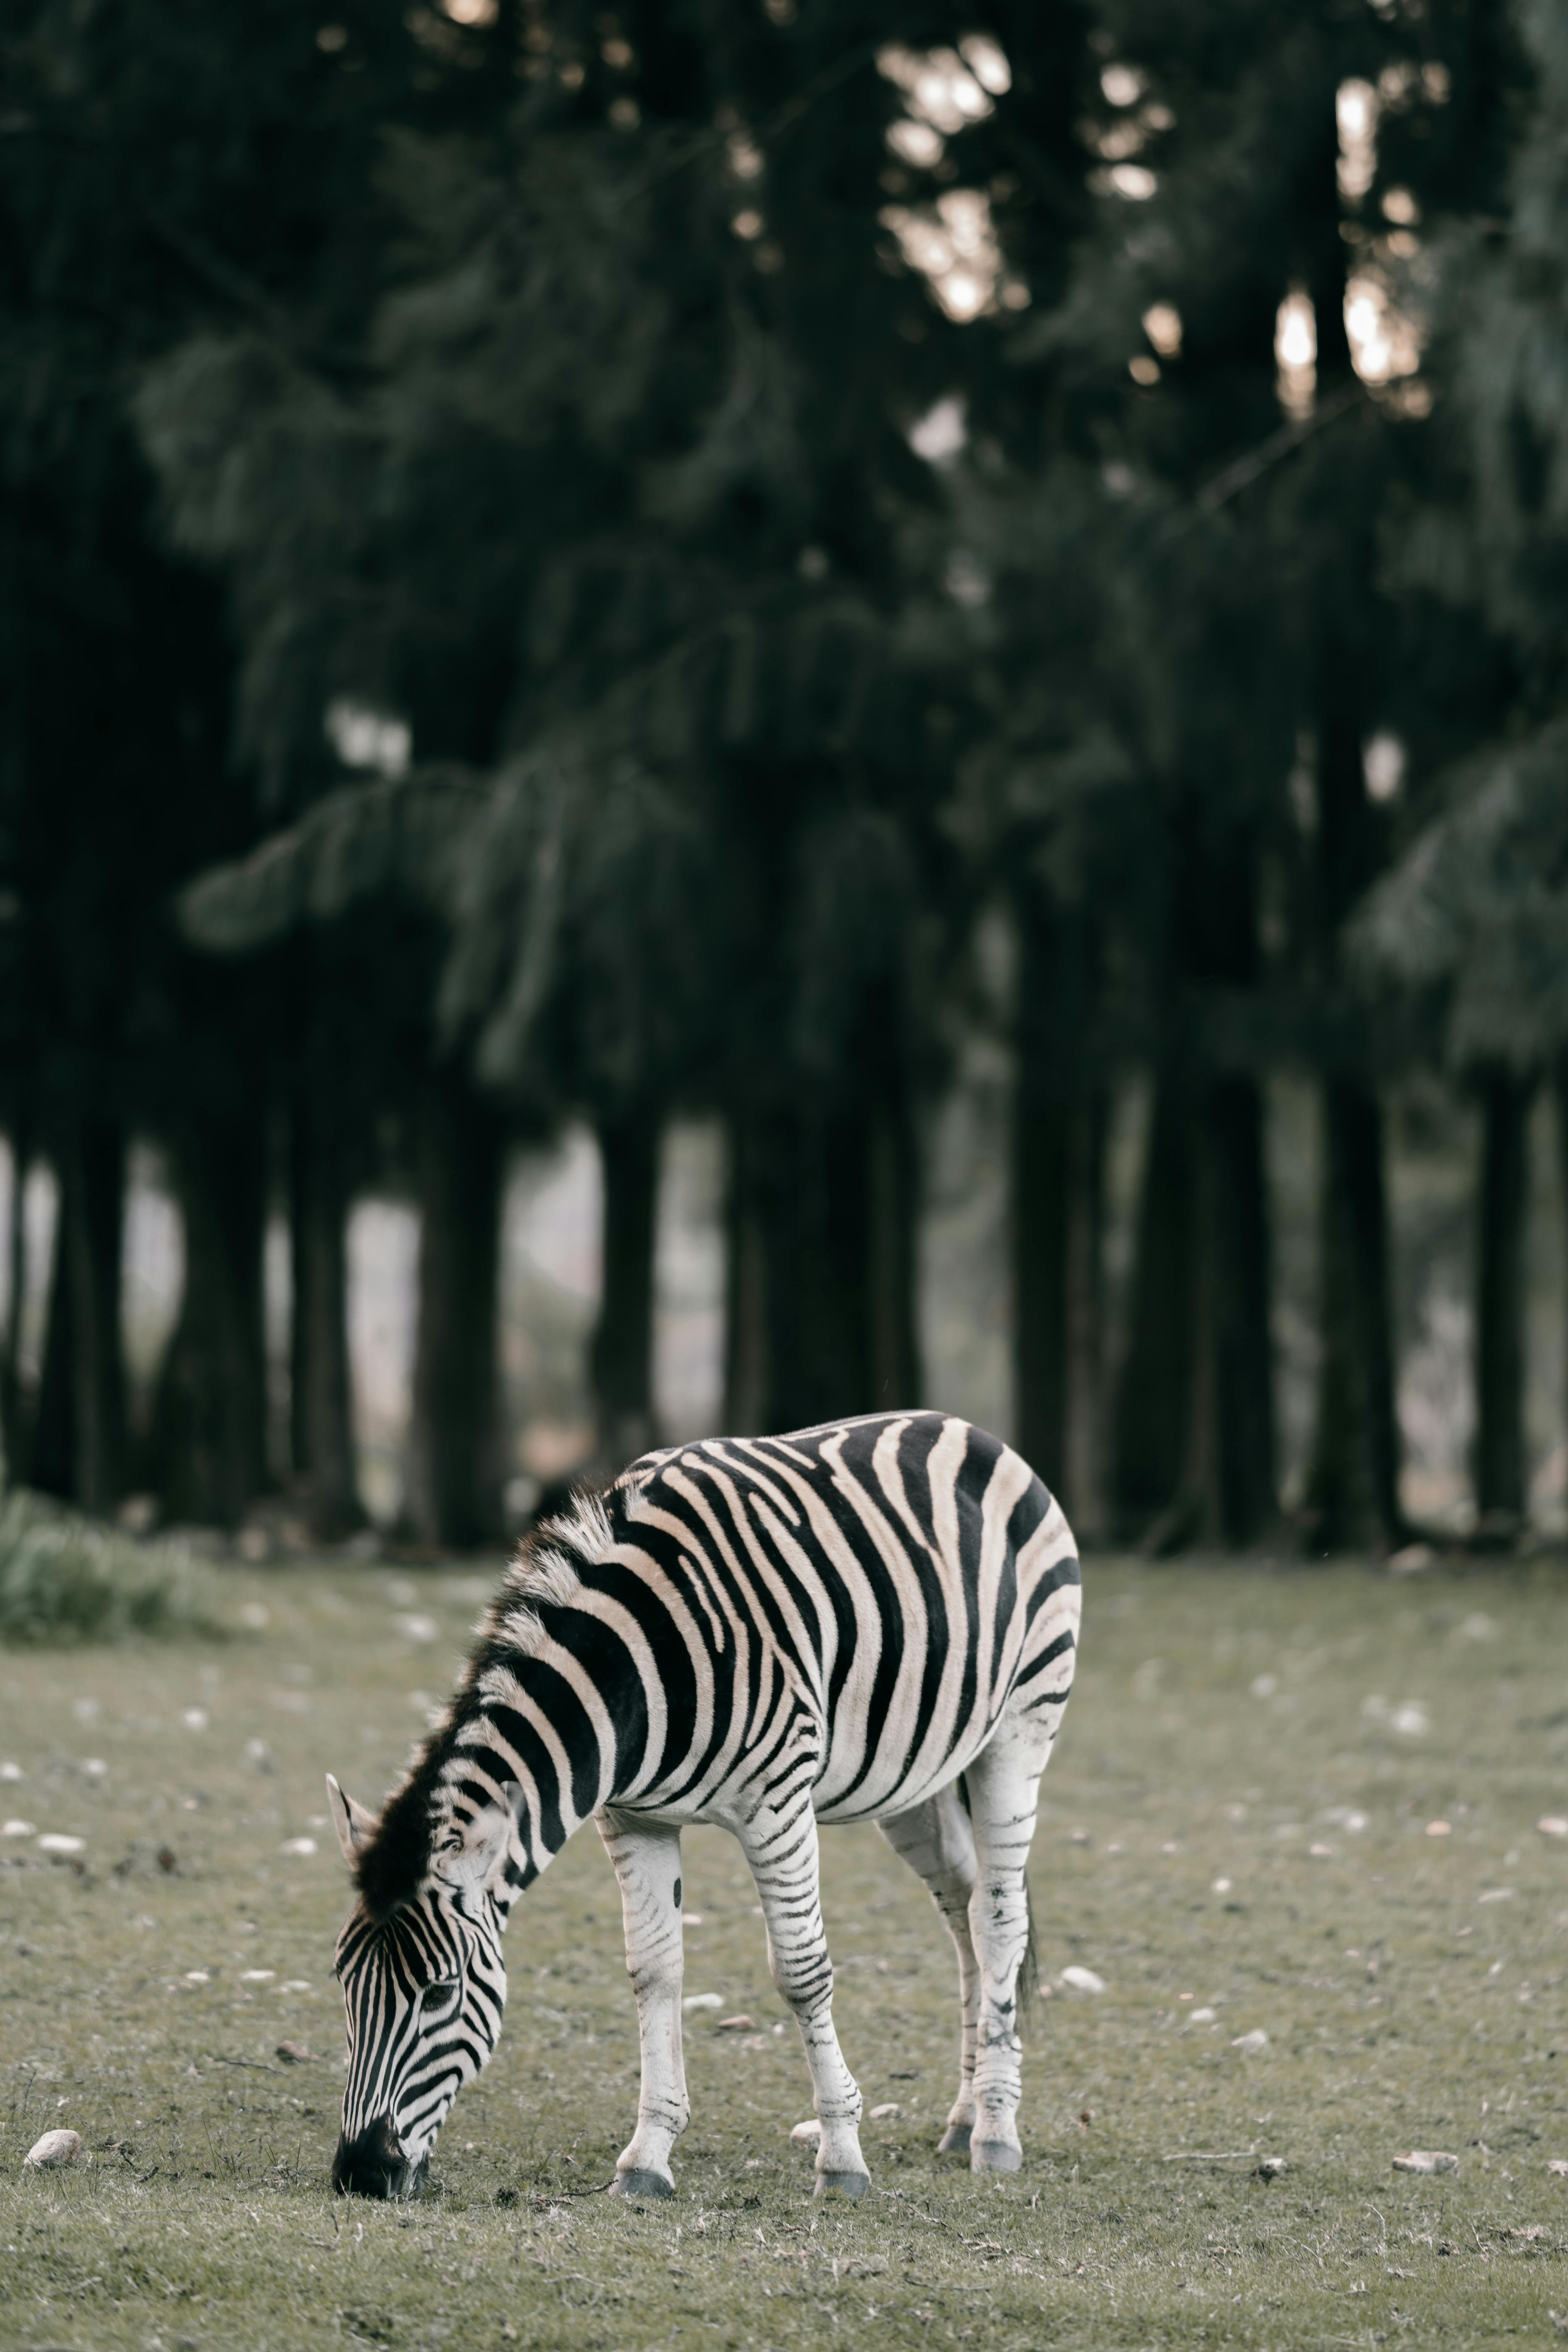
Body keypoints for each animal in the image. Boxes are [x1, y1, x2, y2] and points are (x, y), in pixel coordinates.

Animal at [327, 1410, 1080, 2201]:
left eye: (439, 1994)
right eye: (343, 1979)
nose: (360, 2172)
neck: (635, 1670)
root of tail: (960, 1425)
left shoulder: (777, 1802)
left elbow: (802, 1972)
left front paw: (841, 2156)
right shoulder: (634, 1817)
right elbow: (654, 1969)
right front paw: (646, 2157)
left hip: (1022, 1723)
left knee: (999, 1917)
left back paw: (995, 2132)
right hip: (917, 1776)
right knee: (962, 1908)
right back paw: (964, 2118)